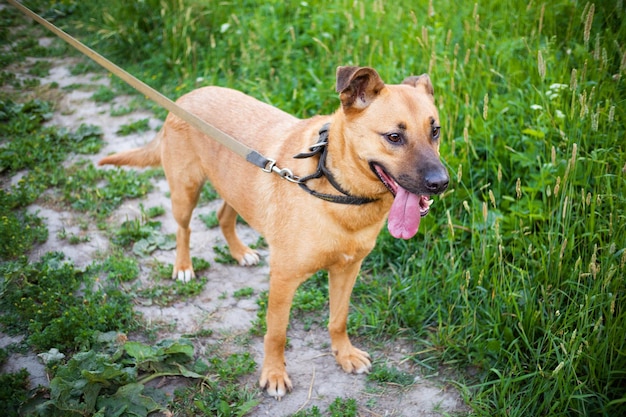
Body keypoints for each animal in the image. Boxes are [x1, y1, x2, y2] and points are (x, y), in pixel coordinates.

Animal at [97, 66, 446, 396]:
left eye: (435, 131)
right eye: (394, 137)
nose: (441, 183)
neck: (337, 187)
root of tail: (186, 97)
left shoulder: (347, 269)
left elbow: (338, 319)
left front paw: (344, 355)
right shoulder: (283, 279)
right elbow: (276, 333)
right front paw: (274, 375)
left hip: (235, 189)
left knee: (223, 216)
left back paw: (240, 252)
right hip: (185, 192)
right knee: (184, 229)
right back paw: (183, 266)